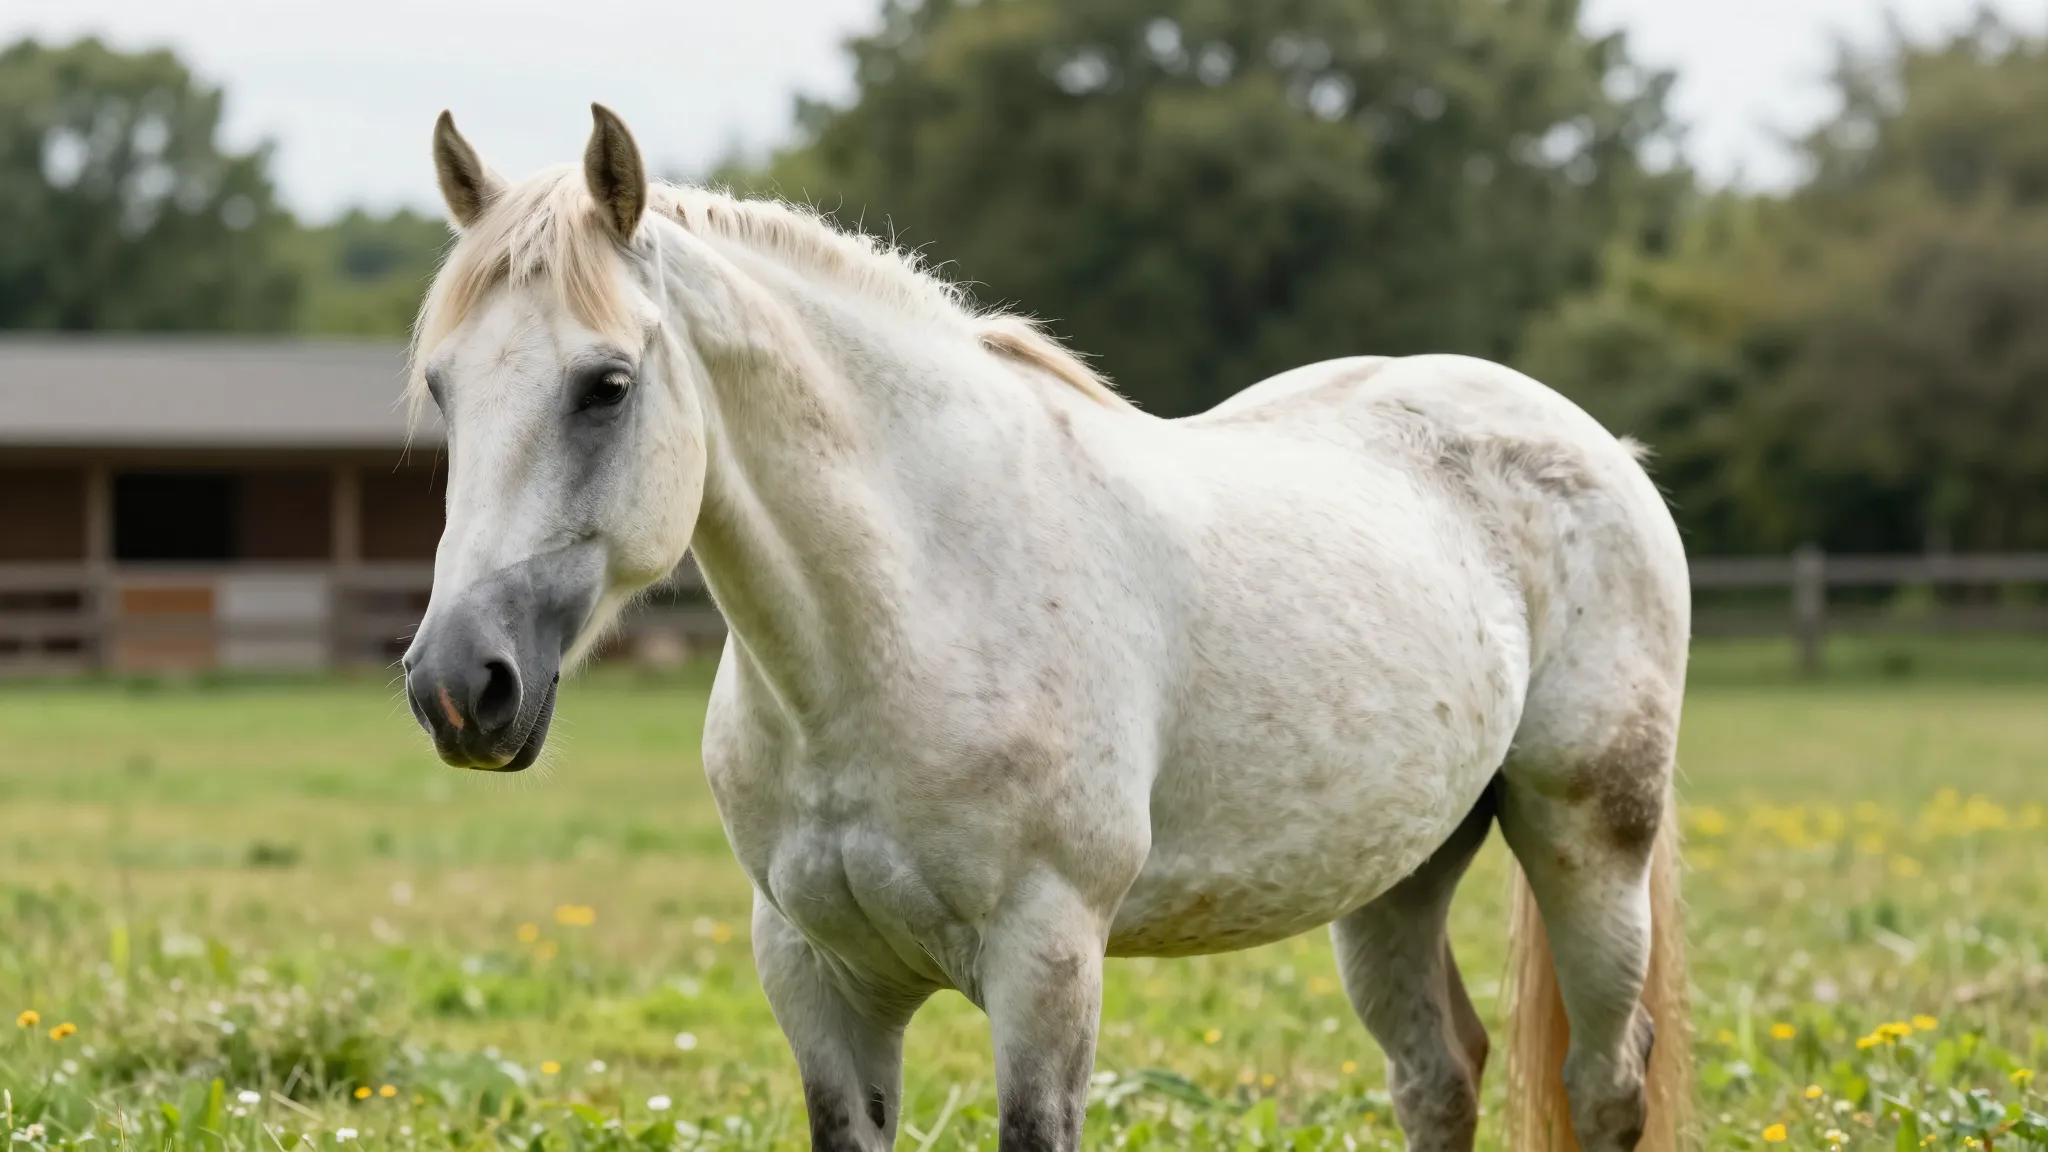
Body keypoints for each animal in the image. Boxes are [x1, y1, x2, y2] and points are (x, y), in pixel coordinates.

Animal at [401, 105, 1693, 1152]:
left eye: (606, 385)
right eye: (443, 389)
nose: (459, 684)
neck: (910, 613)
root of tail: (1595, 446)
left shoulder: (1046, 965)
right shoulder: (817, 978)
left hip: (1585, 846)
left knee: (1602, 1086)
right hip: (1396, 873)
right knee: (1438, 1074)